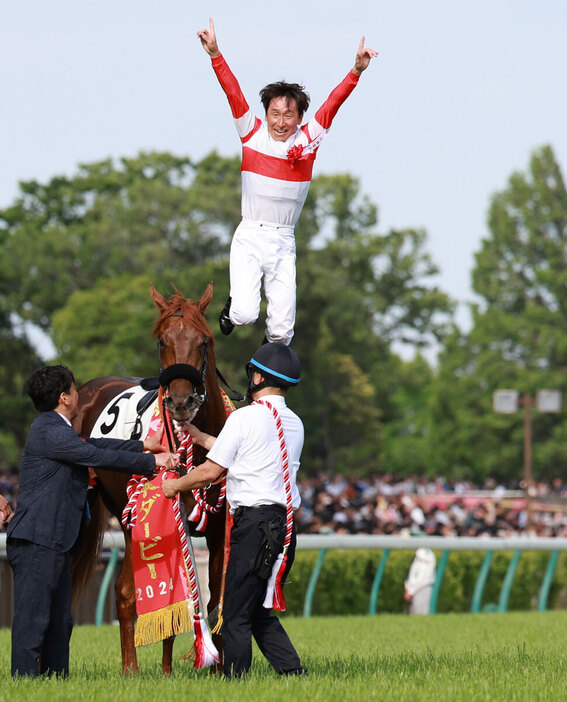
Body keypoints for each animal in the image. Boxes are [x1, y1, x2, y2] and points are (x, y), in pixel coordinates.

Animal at [71, 284, 229, 676]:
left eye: (204, 341)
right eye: (161, 341)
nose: (182, 400)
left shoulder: (218, 526)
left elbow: (211, 600)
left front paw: (217, 670)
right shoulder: (162, 521)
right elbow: (170, 597)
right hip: (123, 518)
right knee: (123, 592)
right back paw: (129, 668)